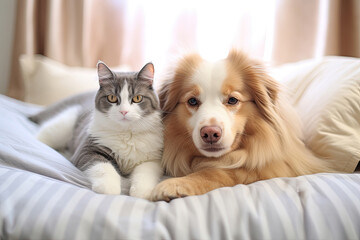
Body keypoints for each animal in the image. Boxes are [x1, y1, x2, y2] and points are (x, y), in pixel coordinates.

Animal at [31, 61, 164, 199]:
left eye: (137, 98)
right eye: (112, 98)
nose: (124, 111)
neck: (126, 133)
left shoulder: (153, 158)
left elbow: (145, 173)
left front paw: (142, 192)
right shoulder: (87, 149)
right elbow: (103, 167)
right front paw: (108, 188)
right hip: (62, 125)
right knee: (41, 137)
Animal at [150, 49, 334, 202]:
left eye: (232, 100)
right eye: (192, 101)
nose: (210, 133)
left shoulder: (279, 166)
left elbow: (219, 171)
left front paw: (176, 184)